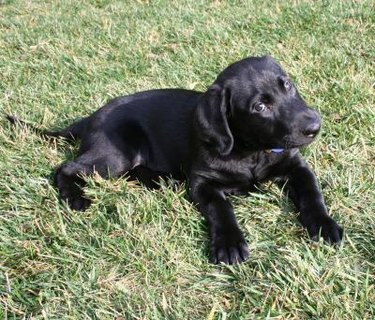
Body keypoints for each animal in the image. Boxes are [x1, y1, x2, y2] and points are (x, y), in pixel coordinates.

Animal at [7, 55, 346, 264]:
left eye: (287, 86)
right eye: (259, 107)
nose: (314, 126)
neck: (252, 151)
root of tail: (90, 118)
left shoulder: (296, 166)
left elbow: (312, 193)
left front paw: (324, 225)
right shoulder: (203, 182)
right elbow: (220, 208)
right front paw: (229, 243)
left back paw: (162, 180)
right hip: (115, 155)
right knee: (66, 167)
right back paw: (75, 198)